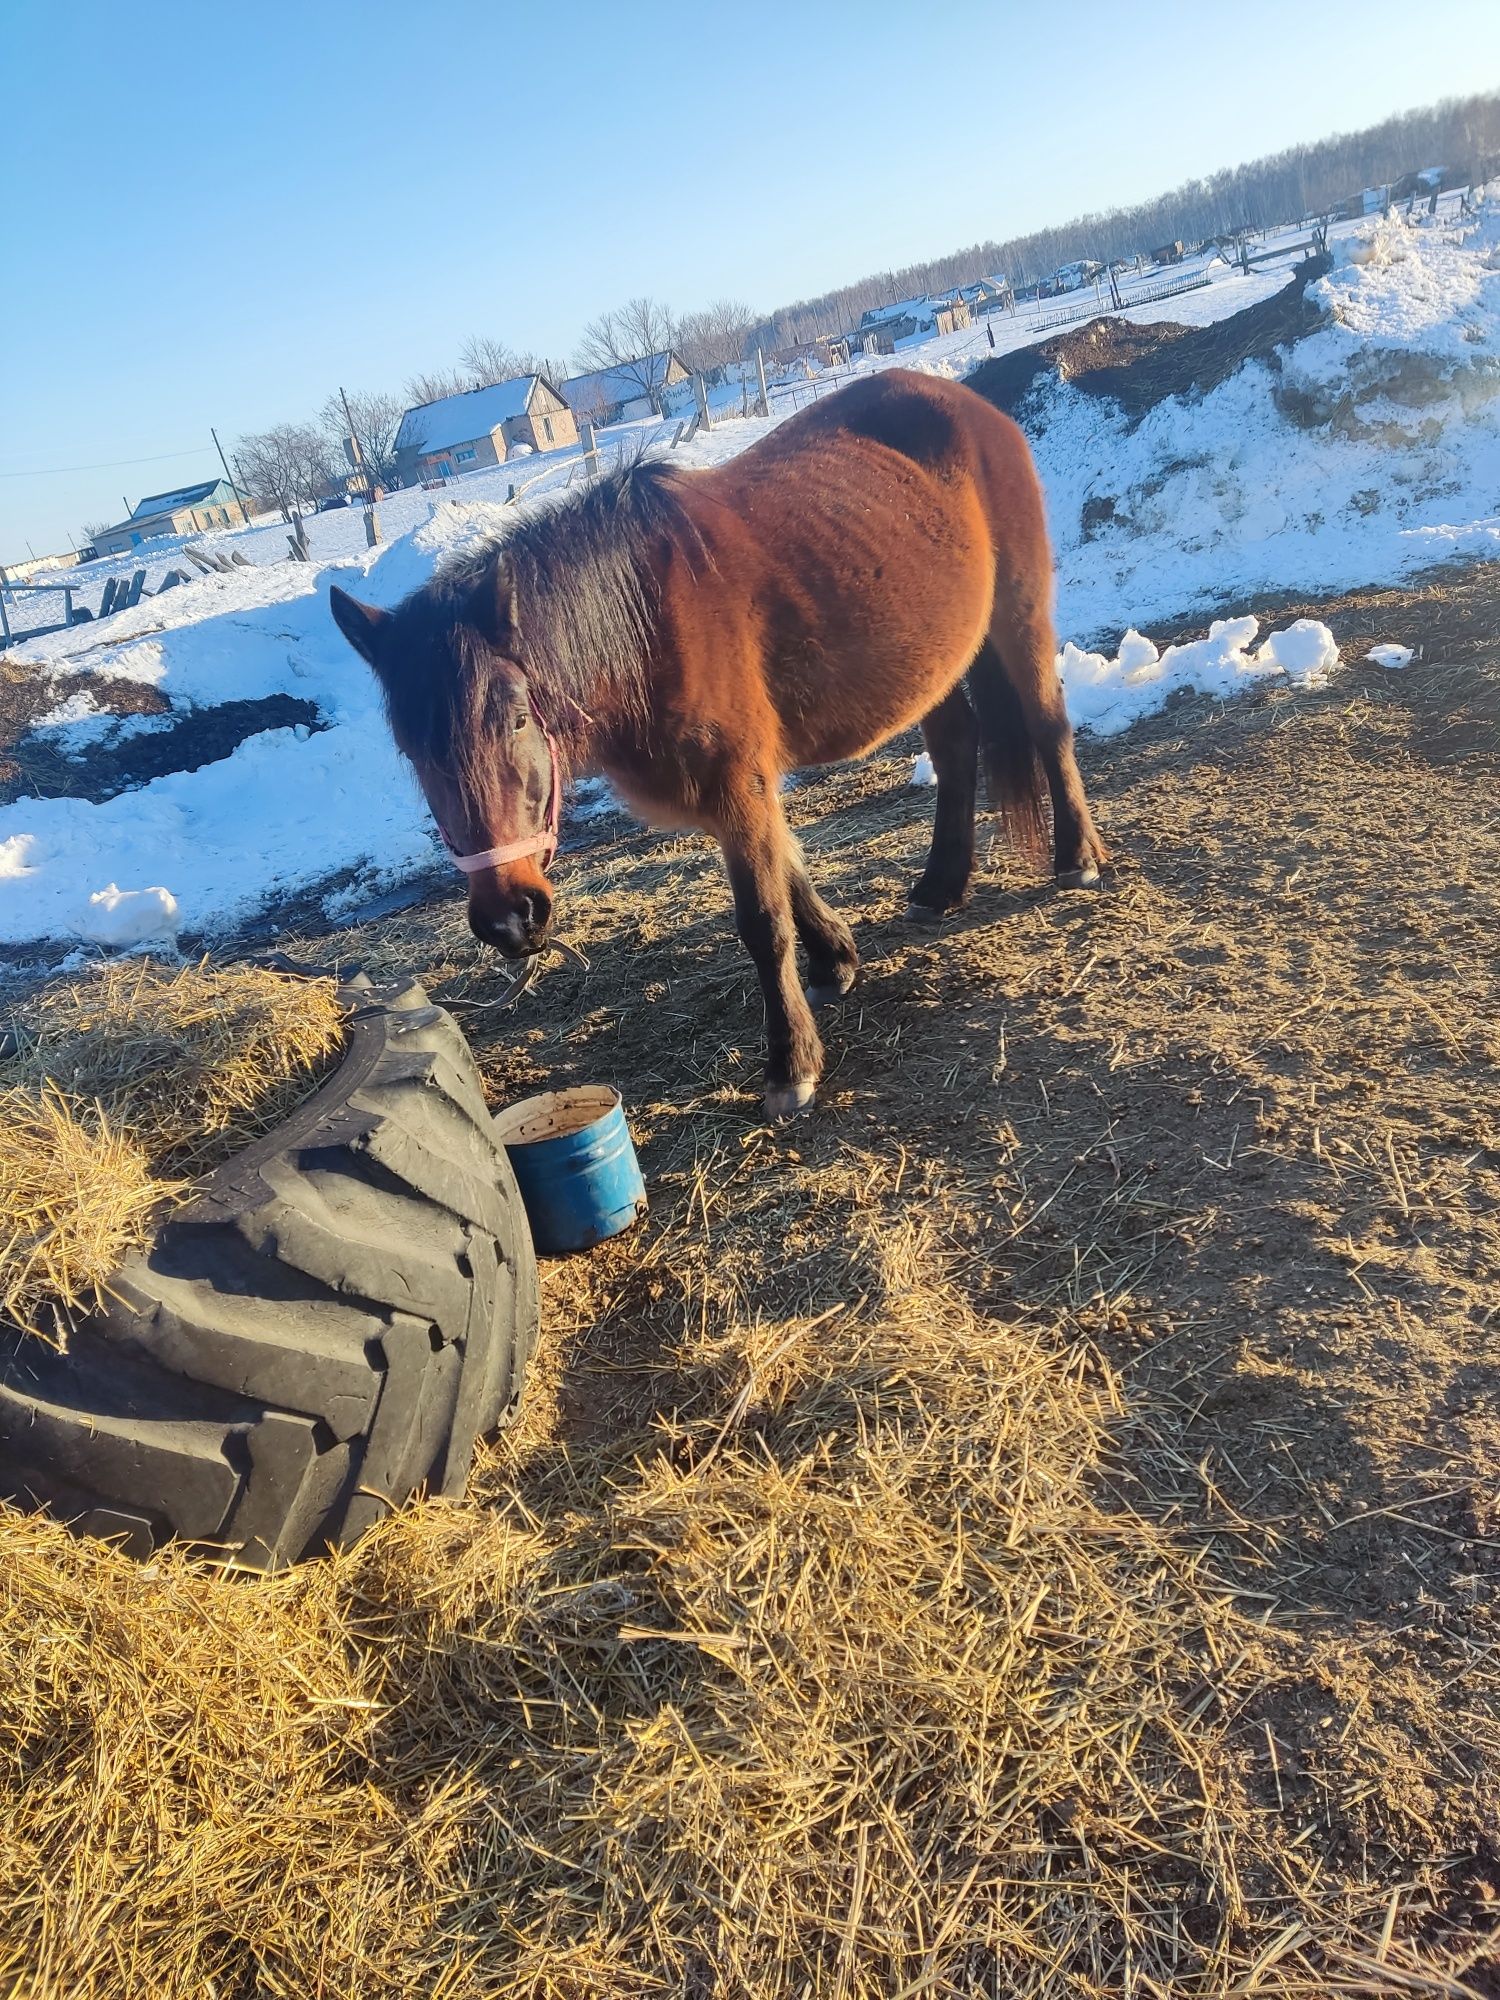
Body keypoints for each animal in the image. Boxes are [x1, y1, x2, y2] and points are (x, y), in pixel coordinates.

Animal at [332, 370, 1104, 1120]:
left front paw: (793, 1064)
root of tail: (965, 399)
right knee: (954, 748)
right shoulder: (737, 790)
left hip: (1017, 609)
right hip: (931, 660)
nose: (508, 919)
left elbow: (763, 921)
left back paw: (1076, 858)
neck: (646, 628)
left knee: (1046, 722)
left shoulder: (737, 782)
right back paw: (941, 886)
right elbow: (788, 867)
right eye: (411, 751)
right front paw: (835, 961)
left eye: (517, 718)